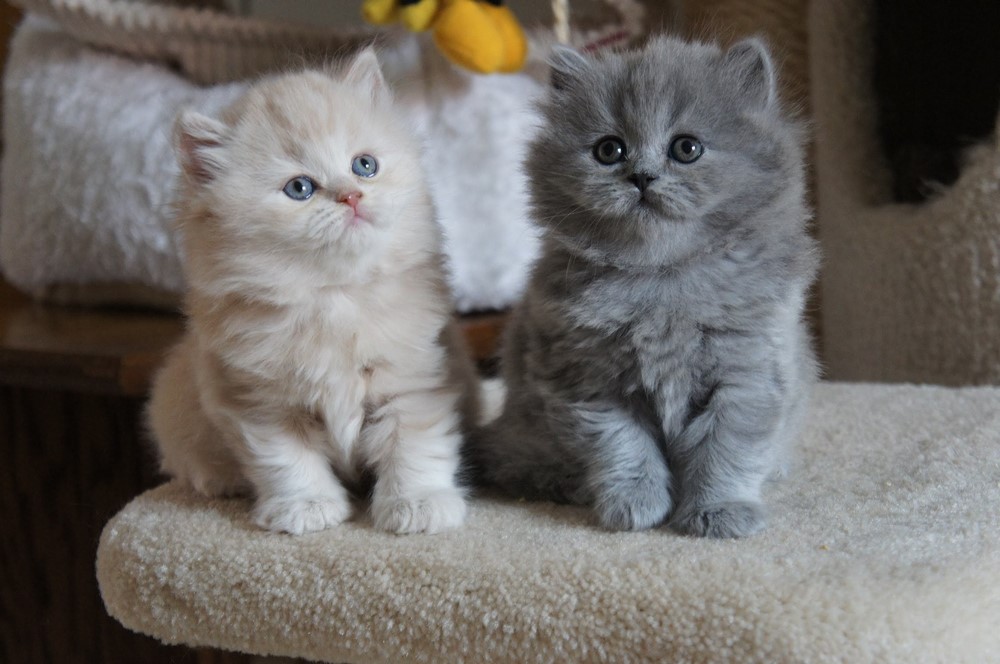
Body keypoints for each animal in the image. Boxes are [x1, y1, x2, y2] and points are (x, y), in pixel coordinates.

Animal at [146, 48, 478, 536]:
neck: (334, 297)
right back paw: (219, 480)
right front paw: (306, 508)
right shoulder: (259, 402)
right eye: (299, 188)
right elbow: (287, 461)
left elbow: (415, 446)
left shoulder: (415, 380)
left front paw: (418, 504)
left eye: (364, 165)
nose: (351, 196)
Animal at [468, 36, 820, 540]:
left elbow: (726, 451)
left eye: (687, 148)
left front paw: (719, 511)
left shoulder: (747, 374)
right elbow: (624, 447)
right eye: (609, 150)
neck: (661, 279)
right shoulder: (589, 381)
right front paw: (635, 506)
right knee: (515, 461)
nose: (641, 176)